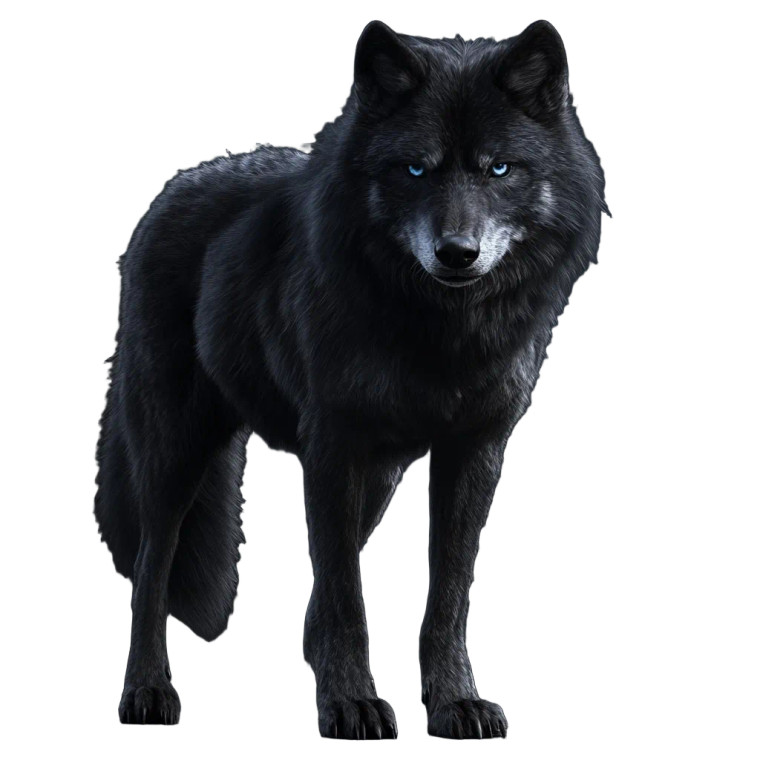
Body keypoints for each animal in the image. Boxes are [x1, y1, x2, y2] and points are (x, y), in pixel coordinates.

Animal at [94, 19, 608, 739]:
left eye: (499, 168)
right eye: (414, 169)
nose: (457, 253)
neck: (440, 333)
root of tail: (174, 187)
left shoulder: (473, 451)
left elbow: (445, 594)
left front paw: (454, 703)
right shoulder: (334, 448)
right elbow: (346, 595)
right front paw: (350, 704)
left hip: (382, 475)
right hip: (176, 451)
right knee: (151, 568)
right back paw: (146, 693)